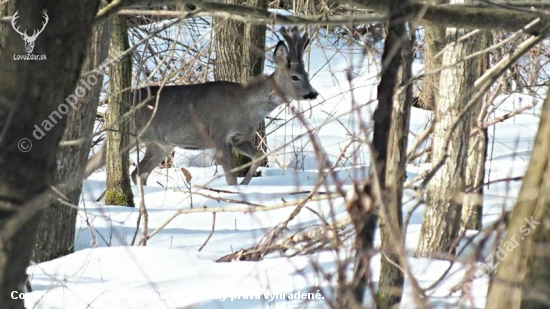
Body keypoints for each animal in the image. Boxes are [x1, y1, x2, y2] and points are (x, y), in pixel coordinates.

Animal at [86, 26, 320, 184]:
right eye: (295, 76)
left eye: (307, 74)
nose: (313, 93)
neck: (246, 106)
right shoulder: (218, 135)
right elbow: (230, 177)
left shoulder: (238, 137)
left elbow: (258, 156)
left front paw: (246, 186)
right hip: (127, 134)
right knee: (95, 163)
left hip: (161, 144)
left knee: (139, 172)